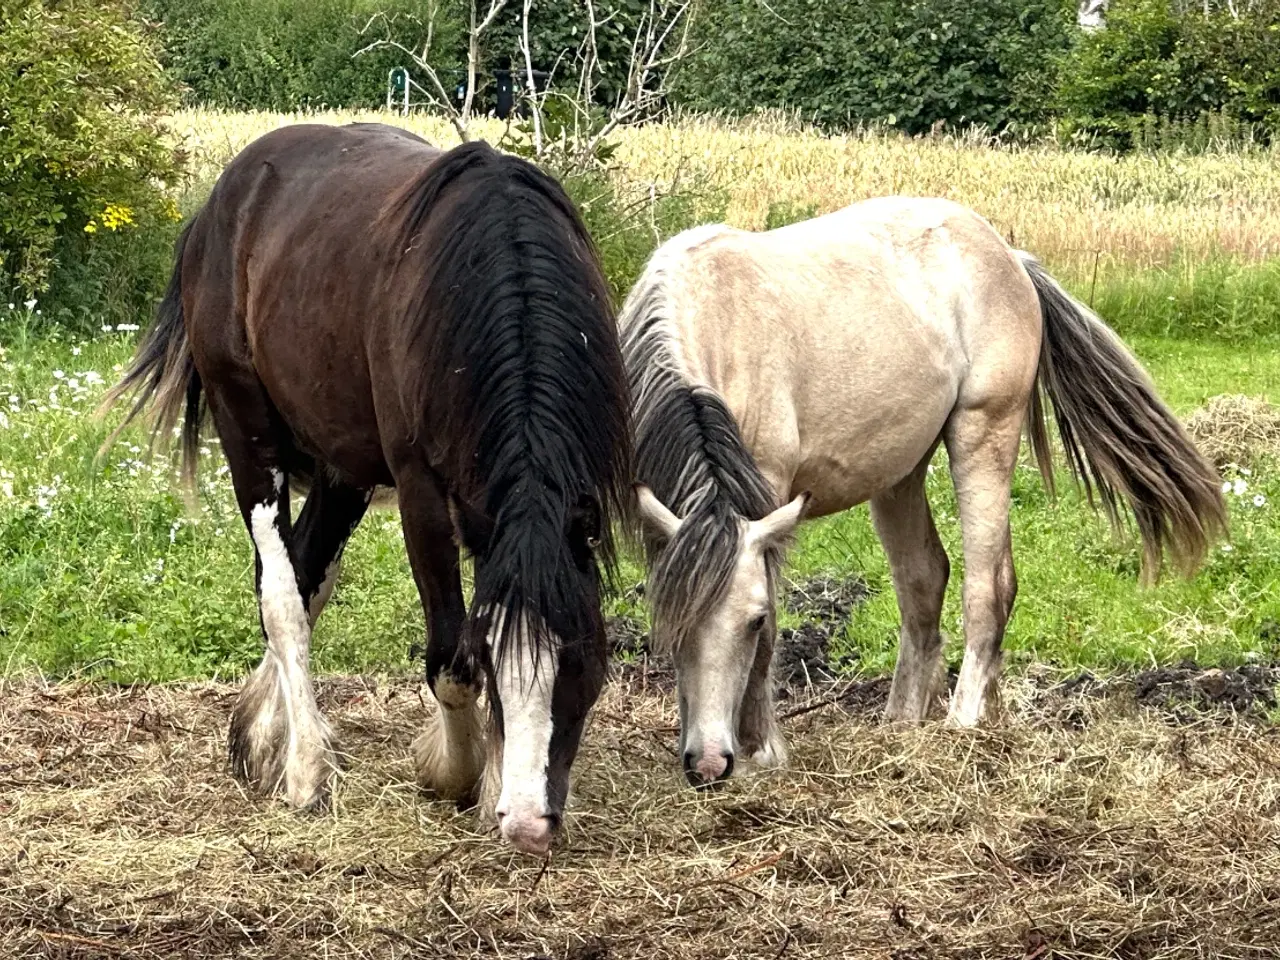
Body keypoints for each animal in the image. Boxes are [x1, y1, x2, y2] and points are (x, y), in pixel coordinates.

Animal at [102, 122, 632, 855]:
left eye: (582, 660)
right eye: (497, 665)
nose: (529, 825)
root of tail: (221, 202)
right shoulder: (423, 498)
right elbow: (449, 656)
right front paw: (454, 773)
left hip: (342, 471)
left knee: (305, 576)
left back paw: (256, 736)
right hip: (250, 438)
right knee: (281, 597)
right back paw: (303, 769)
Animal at [624, 197, 1223, 788]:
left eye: (749, 620)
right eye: (668, 619)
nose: (708, 763)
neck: (715, 320)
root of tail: (1007, 255)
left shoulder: (769, 496)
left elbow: (772, 629)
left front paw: (762, 750)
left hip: (983, 438)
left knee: (986, 589)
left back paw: (963, 722)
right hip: (900, 475)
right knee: (929, 581)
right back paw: (923, 721)